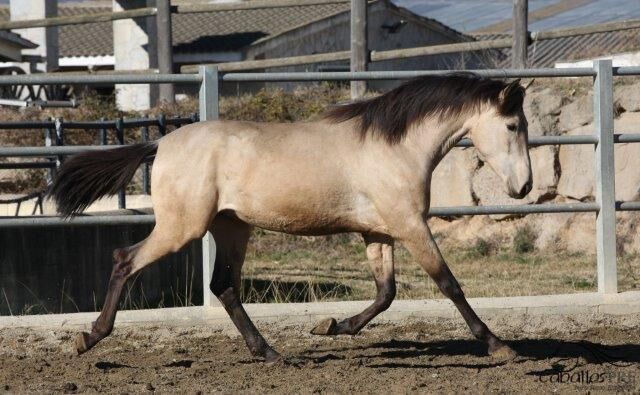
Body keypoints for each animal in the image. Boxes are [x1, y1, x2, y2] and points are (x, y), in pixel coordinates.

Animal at [48, 72, 528, 364]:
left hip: (232, 227)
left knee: (223, 286)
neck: (394, 147)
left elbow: (386, 293)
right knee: (125, 260)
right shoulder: (410, 226)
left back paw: (269, 352)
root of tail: (160, 144)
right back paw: (89, 337)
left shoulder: (378, 232)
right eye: (513, 125)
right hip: (182, 228)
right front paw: (498, 345)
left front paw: (331, 326)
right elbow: (448, 283)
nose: (523, 187)